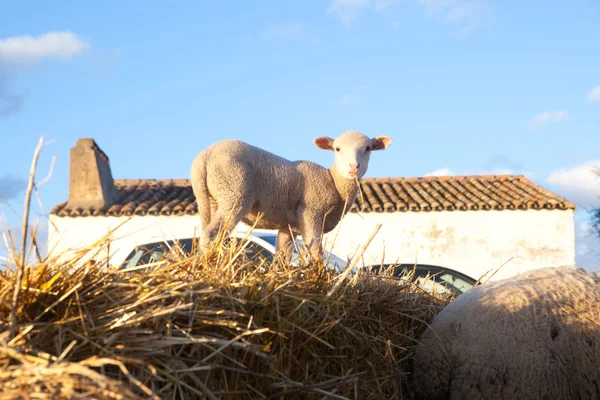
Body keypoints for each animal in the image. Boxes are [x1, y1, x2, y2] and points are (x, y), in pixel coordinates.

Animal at [190, 130, 392, 260]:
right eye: (337, 149)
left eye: (368, 148)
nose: (353, 167)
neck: (333, 181)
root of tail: (205, 156)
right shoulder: (311, 213)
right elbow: (315, 251)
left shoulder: (288, 228)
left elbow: (282, 256)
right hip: (234, 193)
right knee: (211, 234)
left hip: (210, 198)